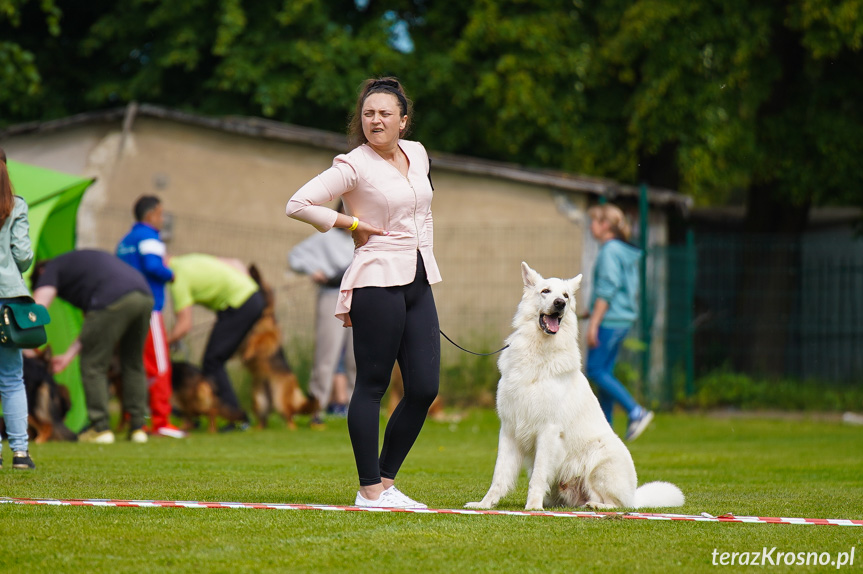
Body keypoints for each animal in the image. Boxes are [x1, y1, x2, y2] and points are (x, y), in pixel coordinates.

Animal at [470, 264, 684, 510]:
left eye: (565, 296)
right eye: (545, 291)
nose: (559, 304)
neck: (538, 353)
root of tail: (635, 497)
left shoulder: (548, 431)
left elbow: (538, 477)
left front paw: (532, 508)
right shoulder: (509, 429)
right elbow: (499, 475)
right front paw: (485, 504)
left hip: (600, 462)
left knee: (618, 504)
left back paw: (596, 506)